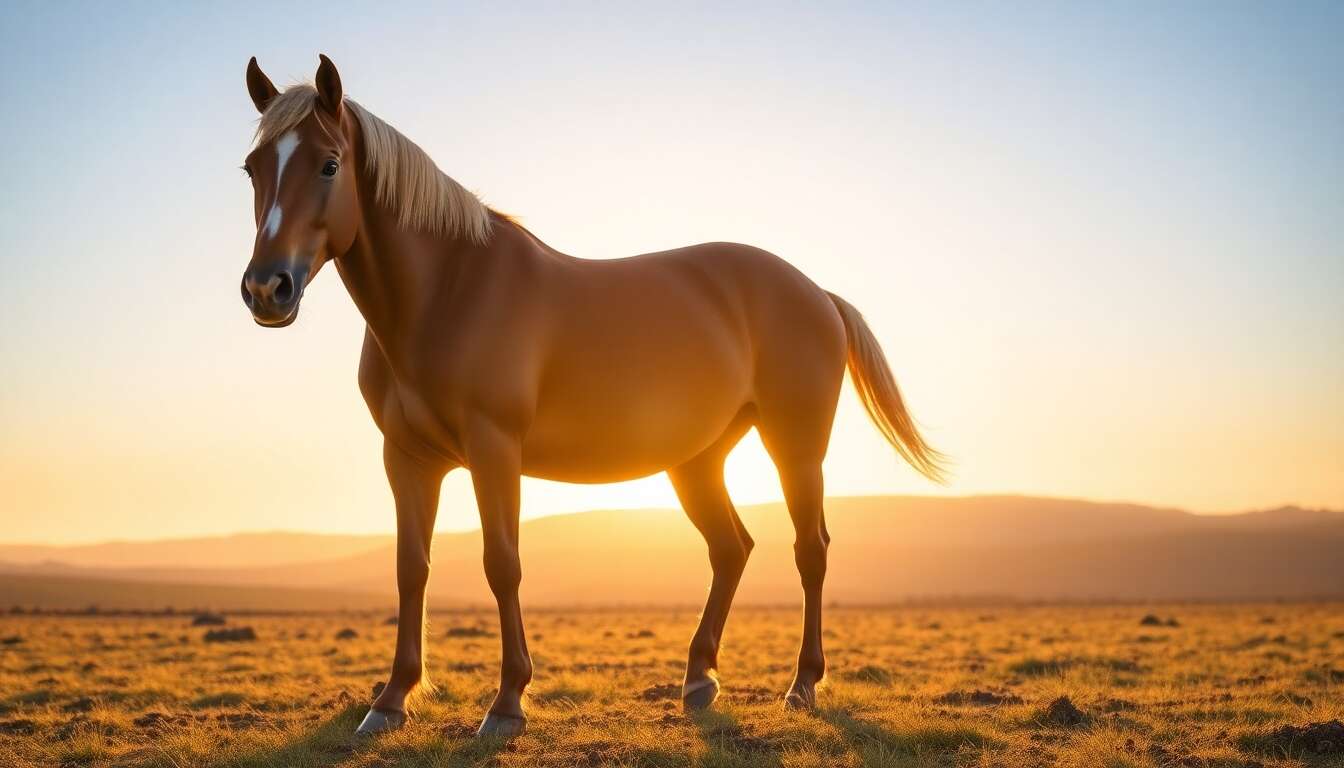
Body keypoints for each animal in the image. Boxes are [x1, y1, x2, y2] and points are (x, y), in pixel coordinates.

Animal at [238, 55, 946, 738]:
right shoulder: (407, 460)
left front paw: (507, 704)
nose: (267, 289)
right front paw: (390, 701)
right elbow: (411, 568)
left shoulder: (494, 451)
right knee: (731, 548)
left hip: (795, 448)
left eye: (330, 163)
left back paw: (801, 686)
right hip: (697, 461)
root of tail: (817, 292)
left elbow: (503, 564)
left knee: (809, 550)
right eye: (252, 169)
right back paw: (698, 680)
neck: (448, 292)